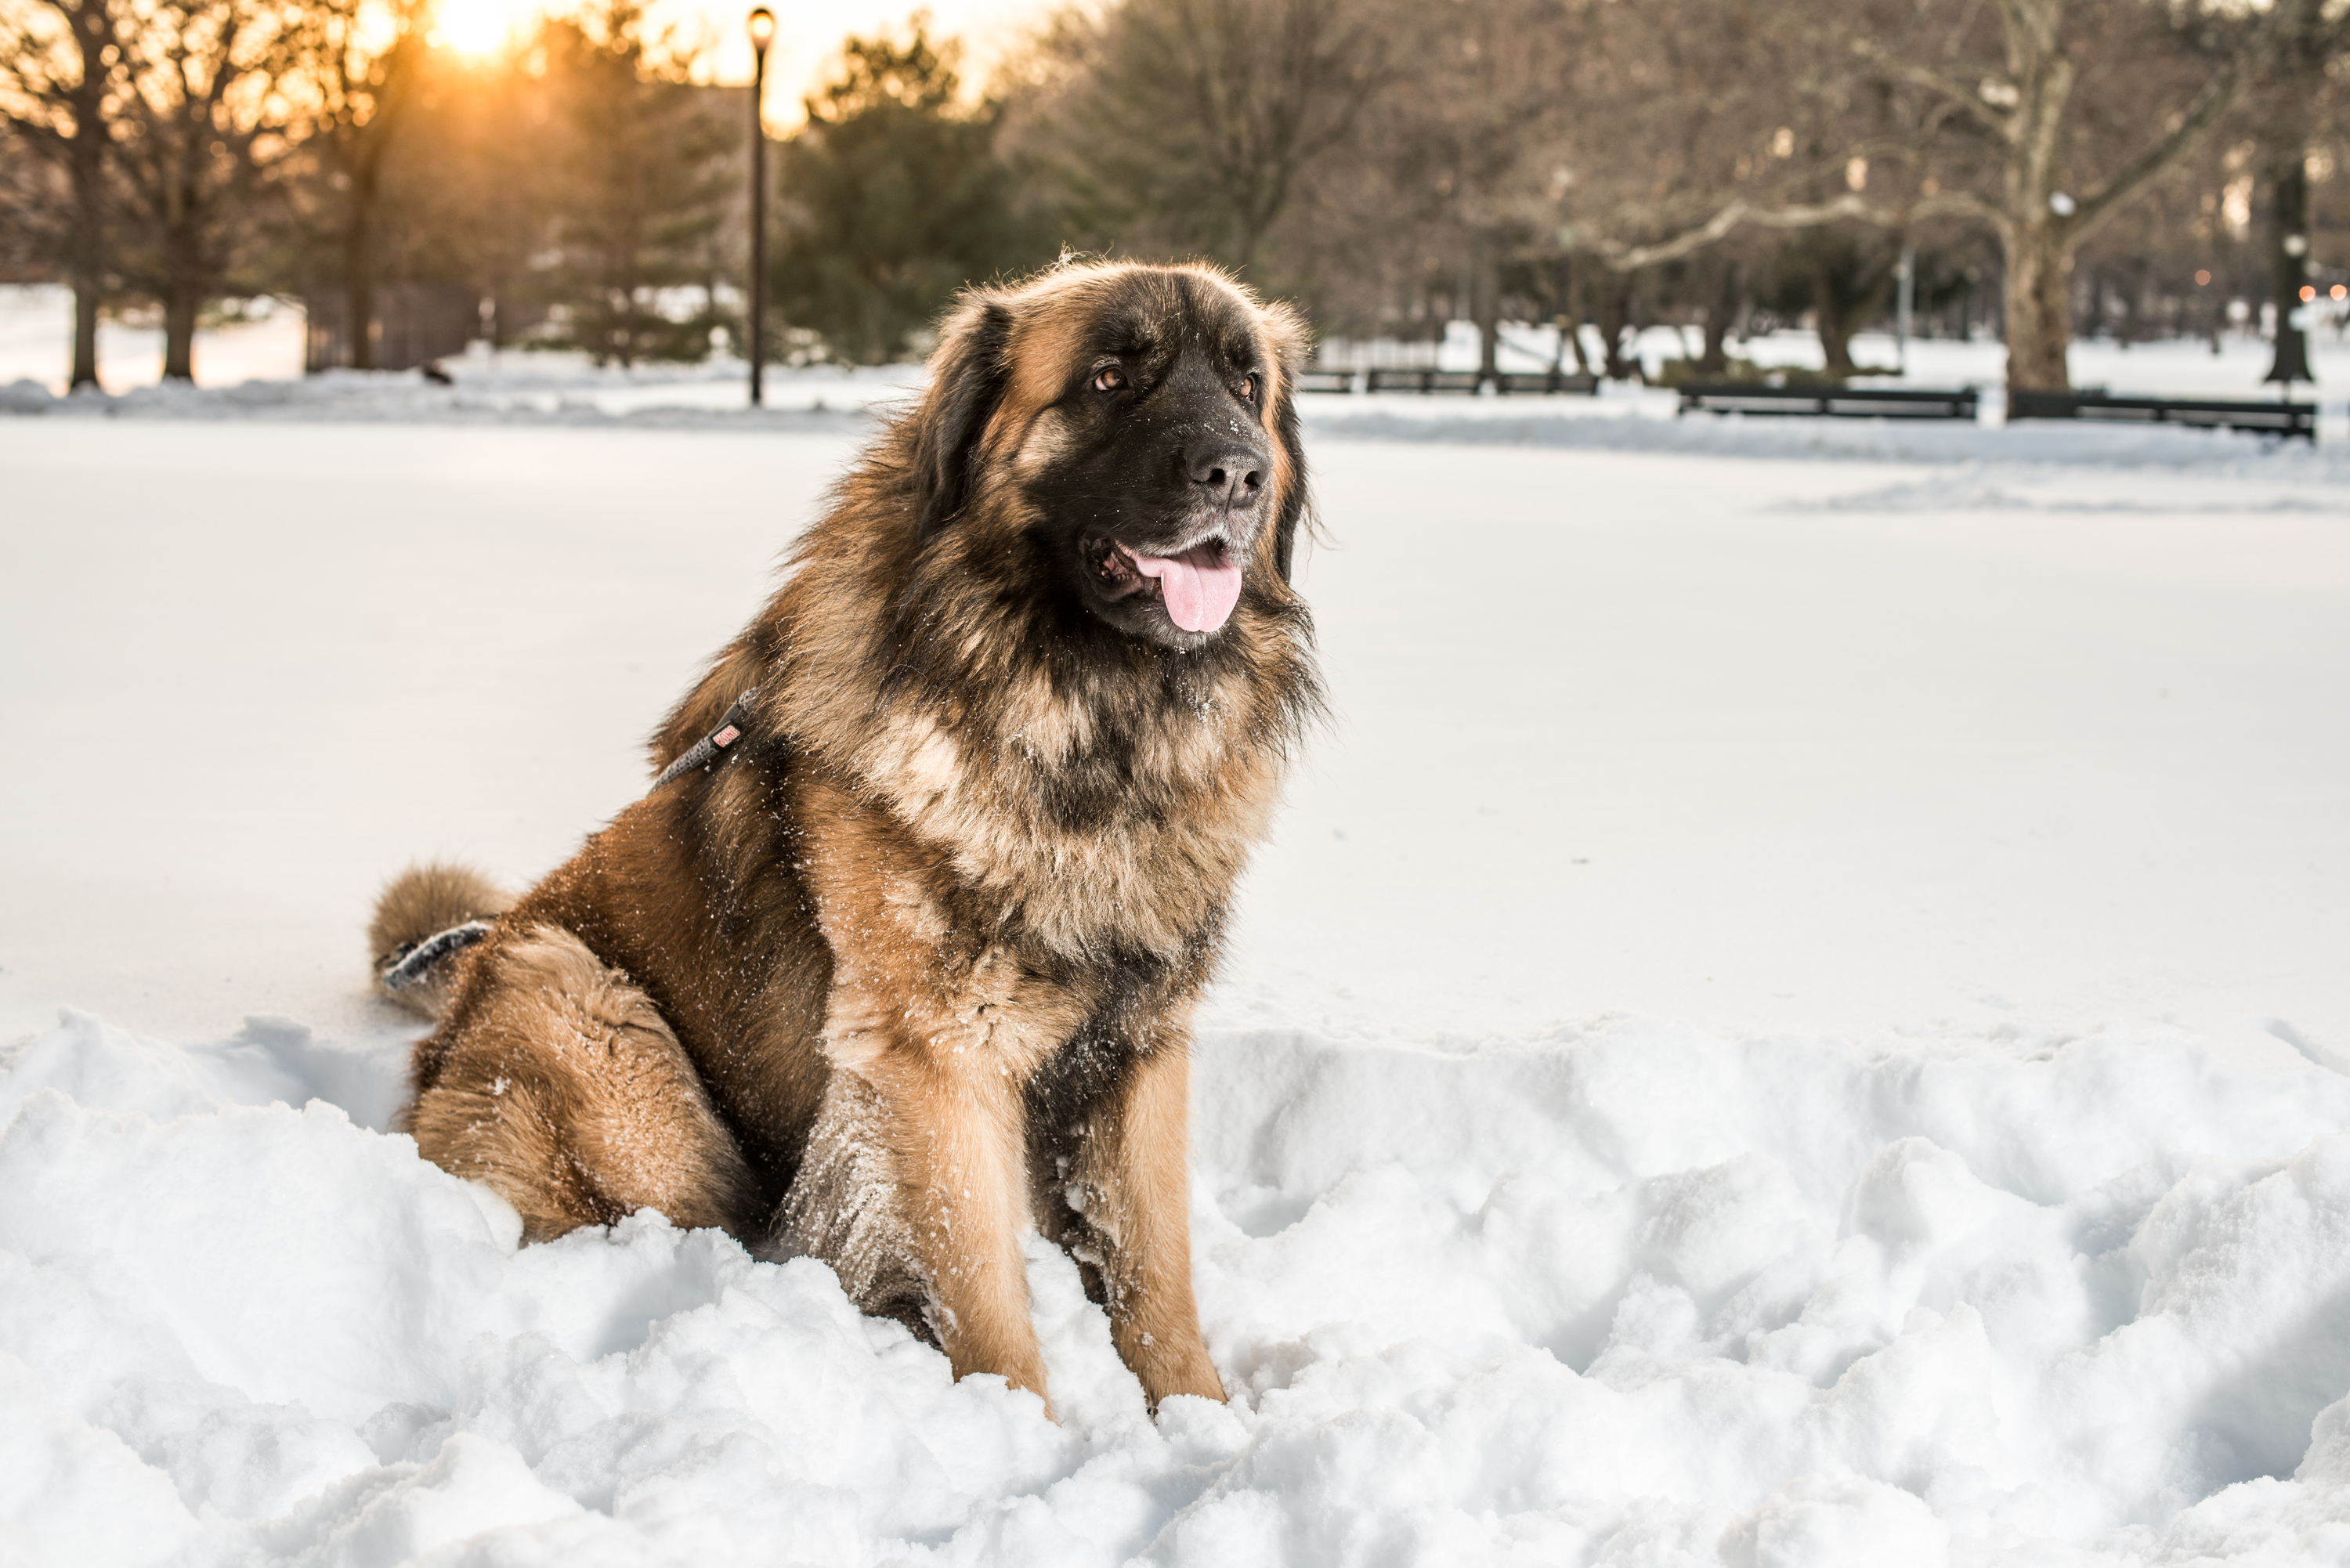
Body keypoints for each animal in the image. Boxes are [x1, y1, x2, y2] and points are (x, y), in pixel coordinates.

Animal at [367, 263, 1325, 1419]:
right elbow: (987, 1292)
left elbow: (1157, 1271)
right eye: (1108, 377)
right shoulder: (933, 1056)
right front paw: (1019, 1429)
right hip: (590, 1021)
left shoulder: (1138, 1049)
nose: (1238, 472)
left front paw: (1197, 1419)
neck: (1083, 724)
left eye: (1247, 385)